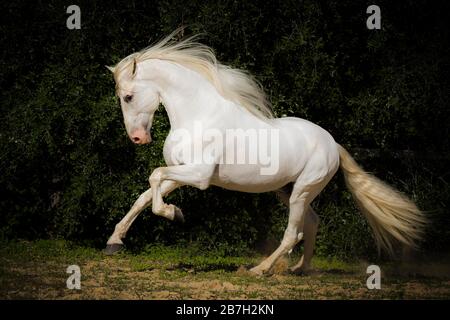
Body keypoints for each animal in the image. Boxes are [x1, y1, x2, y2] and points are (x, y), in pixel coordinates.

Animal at [104, 30, 426, 276]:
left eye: (128, 96)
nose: (137, 138)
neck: (198, 114)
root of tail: (333, 143)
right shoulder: (180, 173)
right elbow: (146, 194)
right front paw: (114, 241)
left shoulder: (199, 175)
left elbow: (154, 177)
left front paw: (175, 214)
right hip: (289, 190)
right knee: (312, 223)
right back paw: (300, 269)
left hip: (303, 190)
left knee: (293, 233)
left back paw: (260, 270)